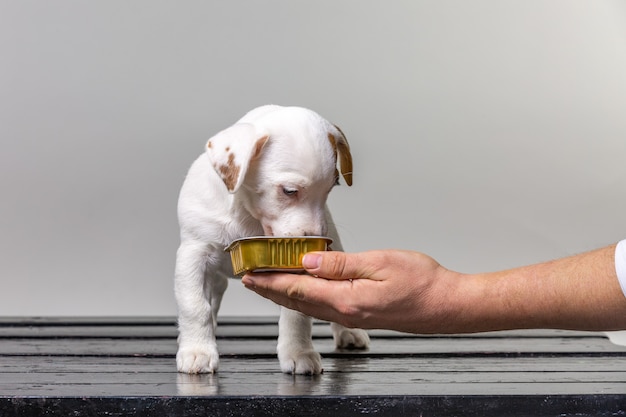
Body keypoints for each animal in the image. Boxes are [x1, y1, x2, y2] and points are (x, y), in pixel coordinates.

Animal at [176, 105, 368, 374]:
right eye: (289, 191)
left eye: (332, 187)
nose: (314, 238)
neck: (247, 216)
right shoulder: (193, 255)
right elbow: (195, 306)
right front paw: (197, 351)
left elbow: (296, 314)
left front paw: (299, 352)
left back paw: (349, 332)